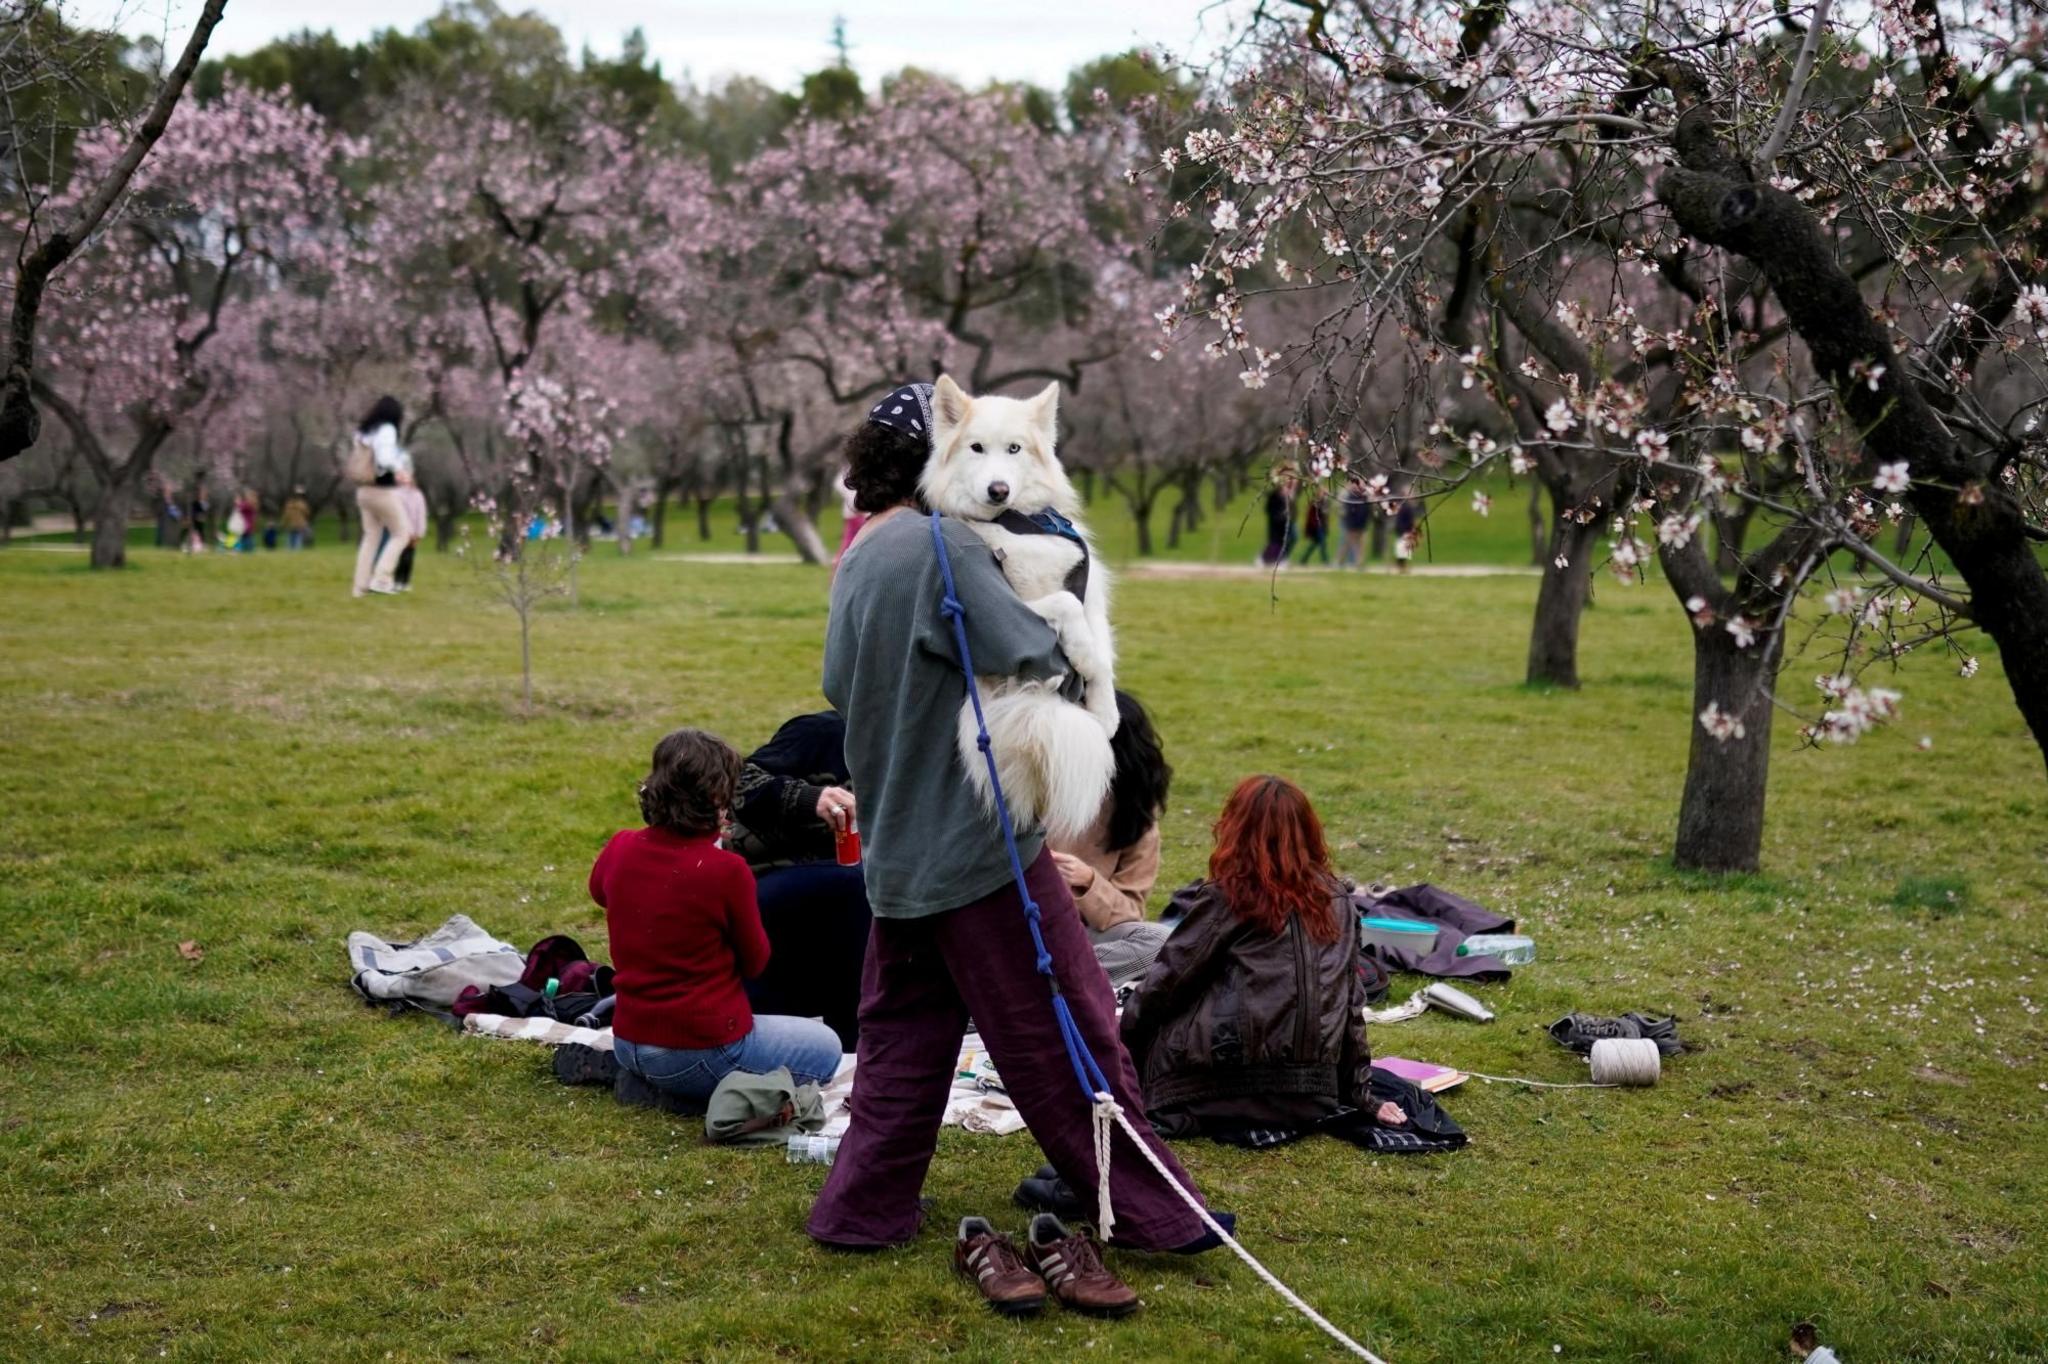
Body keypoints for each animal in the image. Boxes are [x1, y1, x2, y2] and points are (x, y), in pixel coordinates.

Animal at [929, 372, 1122, 839]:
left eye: (1015, 449)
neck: (1017, 523)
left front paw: (1105, 711)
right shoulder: (1018, 599)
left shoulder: (1090, 594)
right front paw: (1081, 658)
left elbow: (1102, 653)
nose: (998, 490)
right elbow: (1067, 607)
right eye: (976, 448)